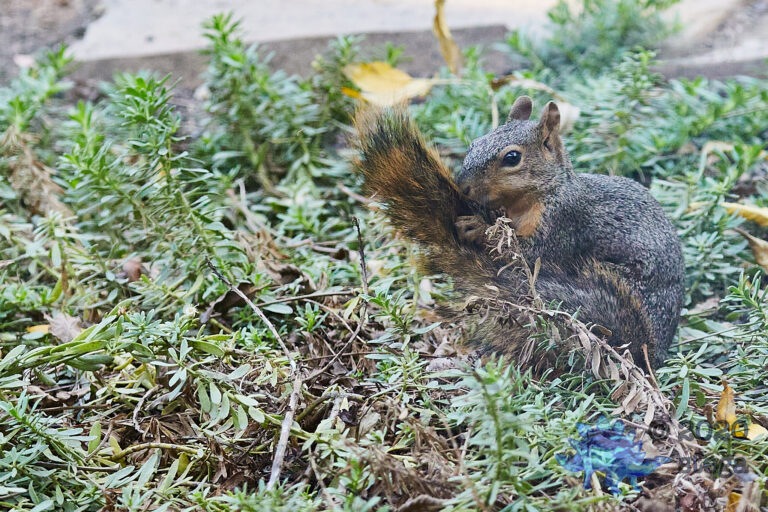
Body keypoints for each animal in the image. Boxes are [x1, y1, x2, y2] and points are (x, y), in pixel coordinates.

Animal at [352, 96, 685, 370]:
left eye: (512, 158)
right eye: (474, 144)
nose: (463, 186)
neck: (535, 196)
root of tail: (653, 349)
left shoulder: (562, 223)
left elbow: (527, 254)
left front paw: (479, 227)